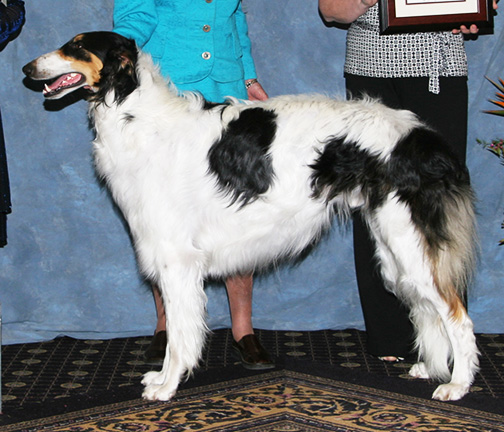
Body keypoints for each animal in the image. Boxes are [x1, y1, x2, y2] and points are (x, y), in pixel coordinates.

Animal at [24, 31, 480, 402]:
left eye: (76, 46)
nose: (27, 69)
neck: (136, 114)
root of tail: (421, 136)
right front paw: (162, 379)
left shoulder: (176, 259)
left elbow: (180, 335)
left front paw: (166, 385)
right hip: (393, 243)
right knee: (428, 310)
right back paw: (428, 368)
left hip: (410, 244)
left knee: (456, 315)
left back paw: (457, 385)